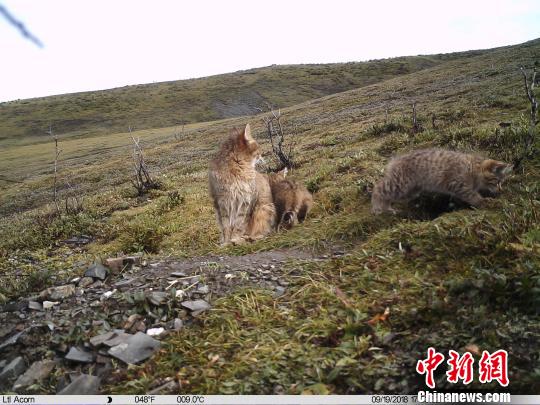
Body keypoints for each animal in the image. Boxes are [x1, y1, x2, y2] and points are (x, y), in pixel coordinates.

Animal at [374, 147, 512, 213]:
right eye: (497, 181)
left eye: (502, 182)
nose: (501, 190)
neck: (473, 167)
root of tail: (395, 160)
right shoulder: (457, 184)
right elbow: (472, 195)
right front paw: (483, 202)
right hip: (400, 185)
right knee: (378, 188)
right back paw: (379, 208)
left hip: (410, 191)